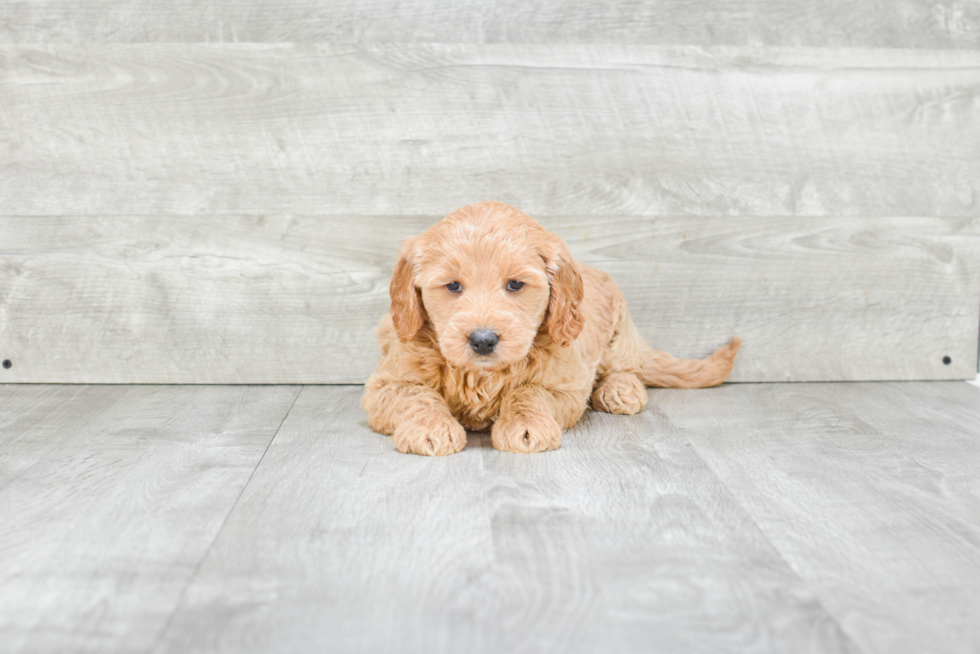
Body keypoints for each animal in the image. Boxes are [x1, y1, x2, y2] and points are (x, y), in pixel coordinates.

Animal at [364, 202, 740, 458]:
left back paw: (620, 390)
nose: (483, 340)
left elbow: (529, 393)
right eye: (453, 286)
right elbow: (416, 395)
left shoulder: (566, 384)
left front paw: (525, 425)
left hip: (619, 328)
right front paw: (430, 428)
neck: (483, 375)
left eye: (515, 284)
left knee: (627, 366)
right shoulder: (386, 382)